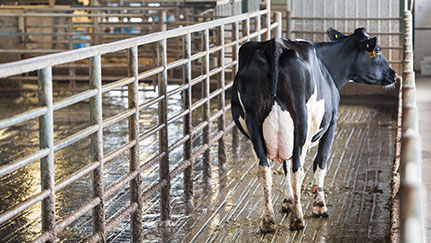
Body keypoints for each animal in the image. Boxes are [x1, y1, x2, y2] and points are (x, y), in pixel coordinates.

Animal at [231, 27, 396, 233]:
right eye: (378, 50)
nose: (394, 74)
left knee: (265, 169)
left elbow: (285, 167)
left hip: (253, 122)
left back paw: (268, 221)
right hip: (301, 120)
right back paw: (298, 220)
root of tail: (275, 46)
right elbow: (320, 163)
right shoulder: (332, 123)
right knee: (297, 170)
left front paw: (288, 201)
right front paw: (319, 206)